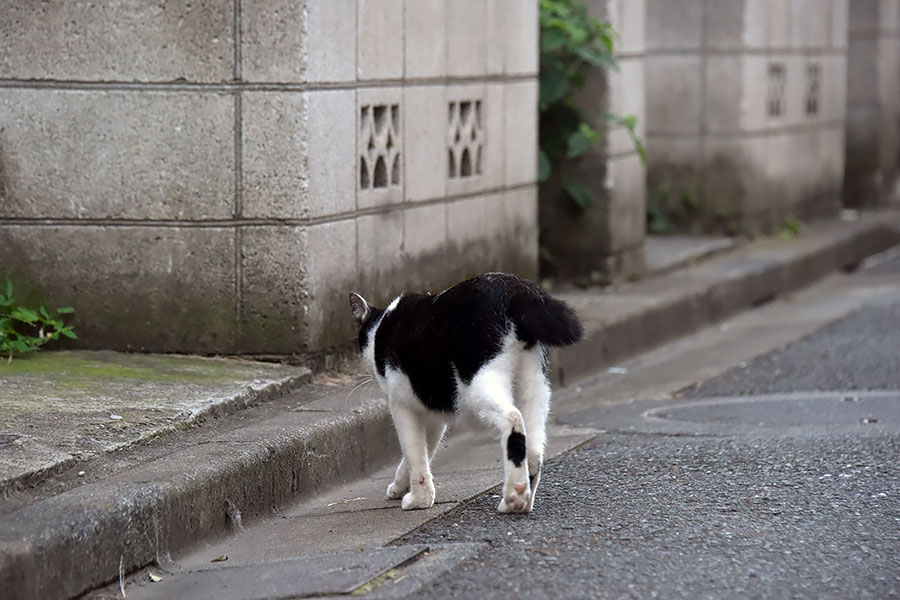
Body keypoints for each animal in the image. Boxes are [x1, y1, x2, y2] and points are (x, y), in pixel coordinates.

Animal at [344, 274, 584, 512]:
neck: (380, 328)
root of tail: (514, 286)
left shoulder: (402, 405)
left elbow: (414, 452)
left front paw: (419, 499)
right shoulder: (431, 411)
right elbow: (424, 449)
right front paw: (400, 486)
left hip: (477, 383)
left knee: (513, 418)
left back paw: (514, 493)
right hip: (534, 383)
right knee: (534, 446)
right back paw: (520, 500)